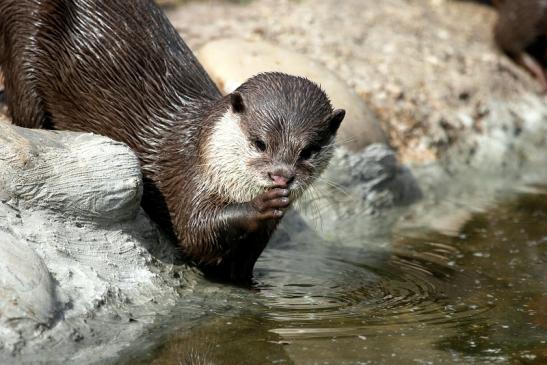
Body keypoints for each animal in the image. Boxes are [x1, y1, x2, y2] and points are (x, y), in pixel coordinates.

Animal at [0, 0, 346, 282]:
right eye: (259, 143)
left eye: (309, 150)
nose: (282, 176)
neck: (209, 159)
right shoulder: (185, 179)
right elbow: (195, 232)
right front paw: (261, 204)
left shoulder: (257, 243)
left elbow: (238, 269)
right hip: (27, 32)